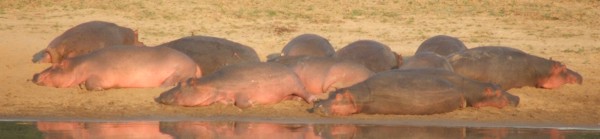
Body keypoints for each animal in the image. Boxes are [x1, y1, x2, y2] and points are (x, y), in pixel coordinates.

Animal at [31, 46, 200, 90]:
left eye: (55, 66)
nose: (35, 75)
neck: (78, 66)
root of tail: (194, 62)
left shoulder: (99, 75)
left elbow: (90, 83)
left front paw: (99, 89)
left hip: (180, 69)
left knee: (175, 78)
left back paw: (162, 86)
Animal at [155, 62, 316, 108]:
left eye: (182, 84)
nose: (161, 95)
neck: (210, 85)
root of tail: (290, 69)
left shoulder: (242, 91)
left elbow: (241, 102)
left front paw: (253, 103)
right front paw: (226, 102)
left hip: (296, 84)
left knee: (305, 92)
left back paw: (312, 99)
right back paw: (296, 99)